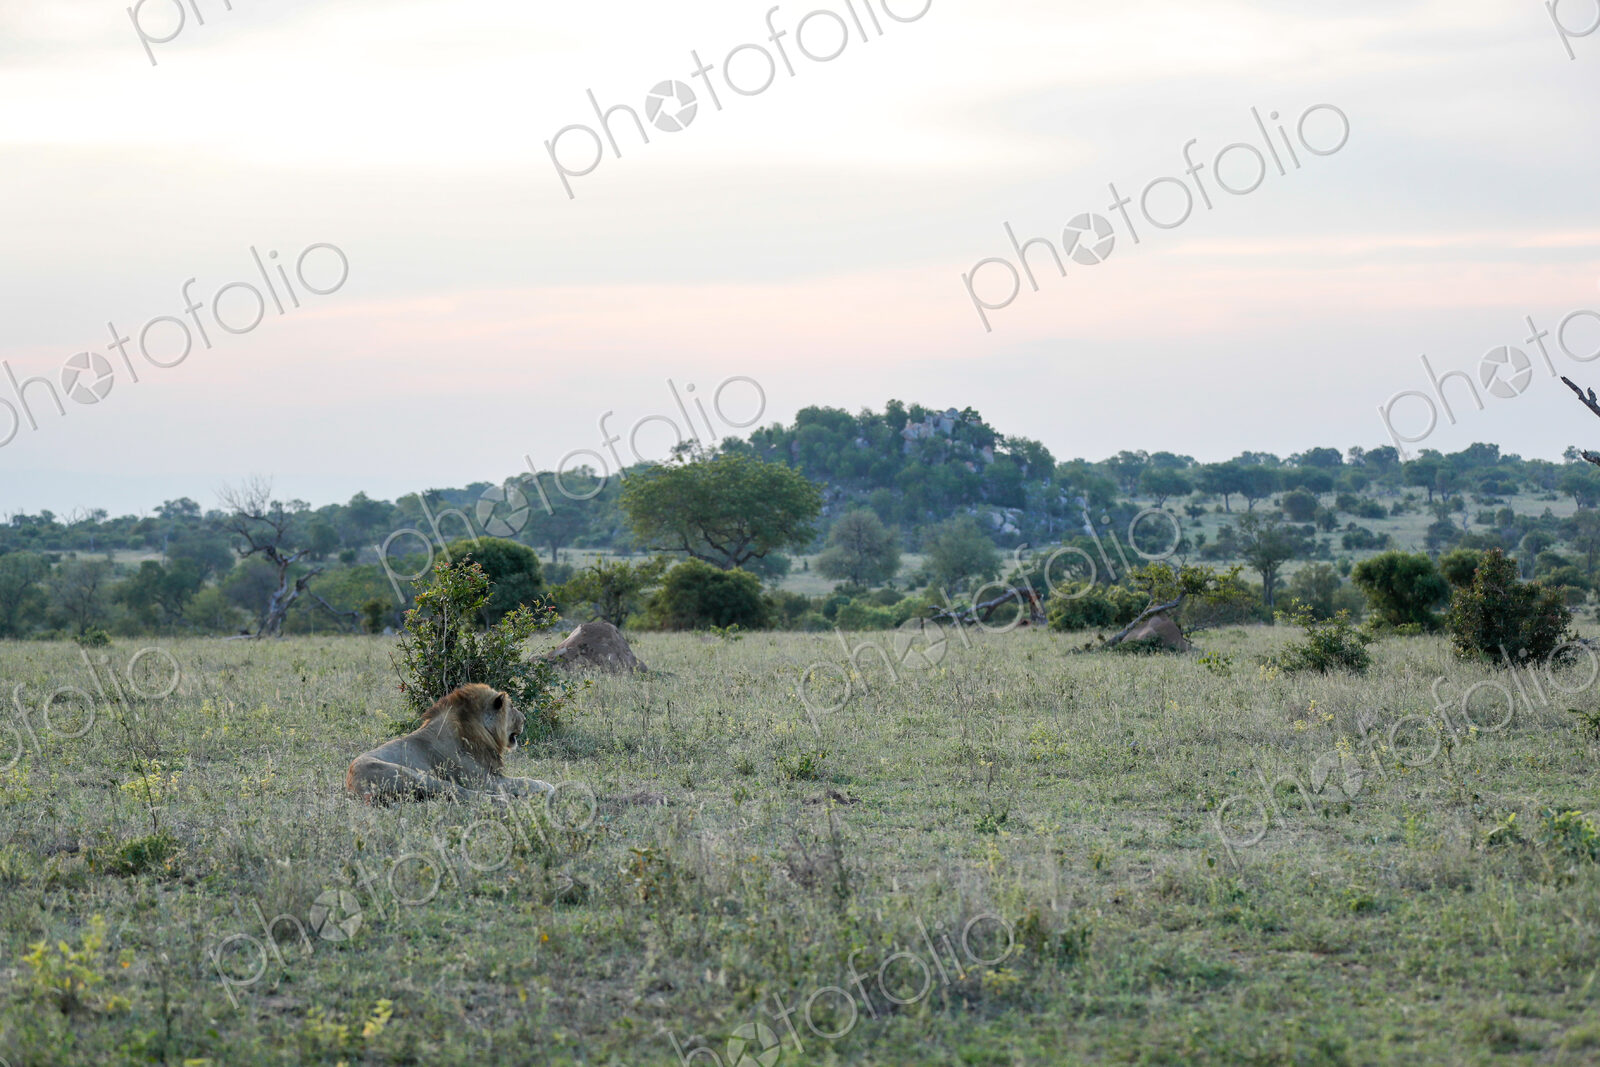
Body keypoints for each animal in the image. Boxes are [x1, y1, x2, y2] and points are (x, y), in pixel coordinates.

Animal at [345, 683, 554, 805]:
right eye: (512, 708)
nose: (524, 719)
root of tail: (354, 787)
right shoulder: (484, 779)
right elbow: (522, 780)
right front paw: (546, 785)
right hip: (418, 776)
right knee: (464, 794)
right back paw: (506, 799)